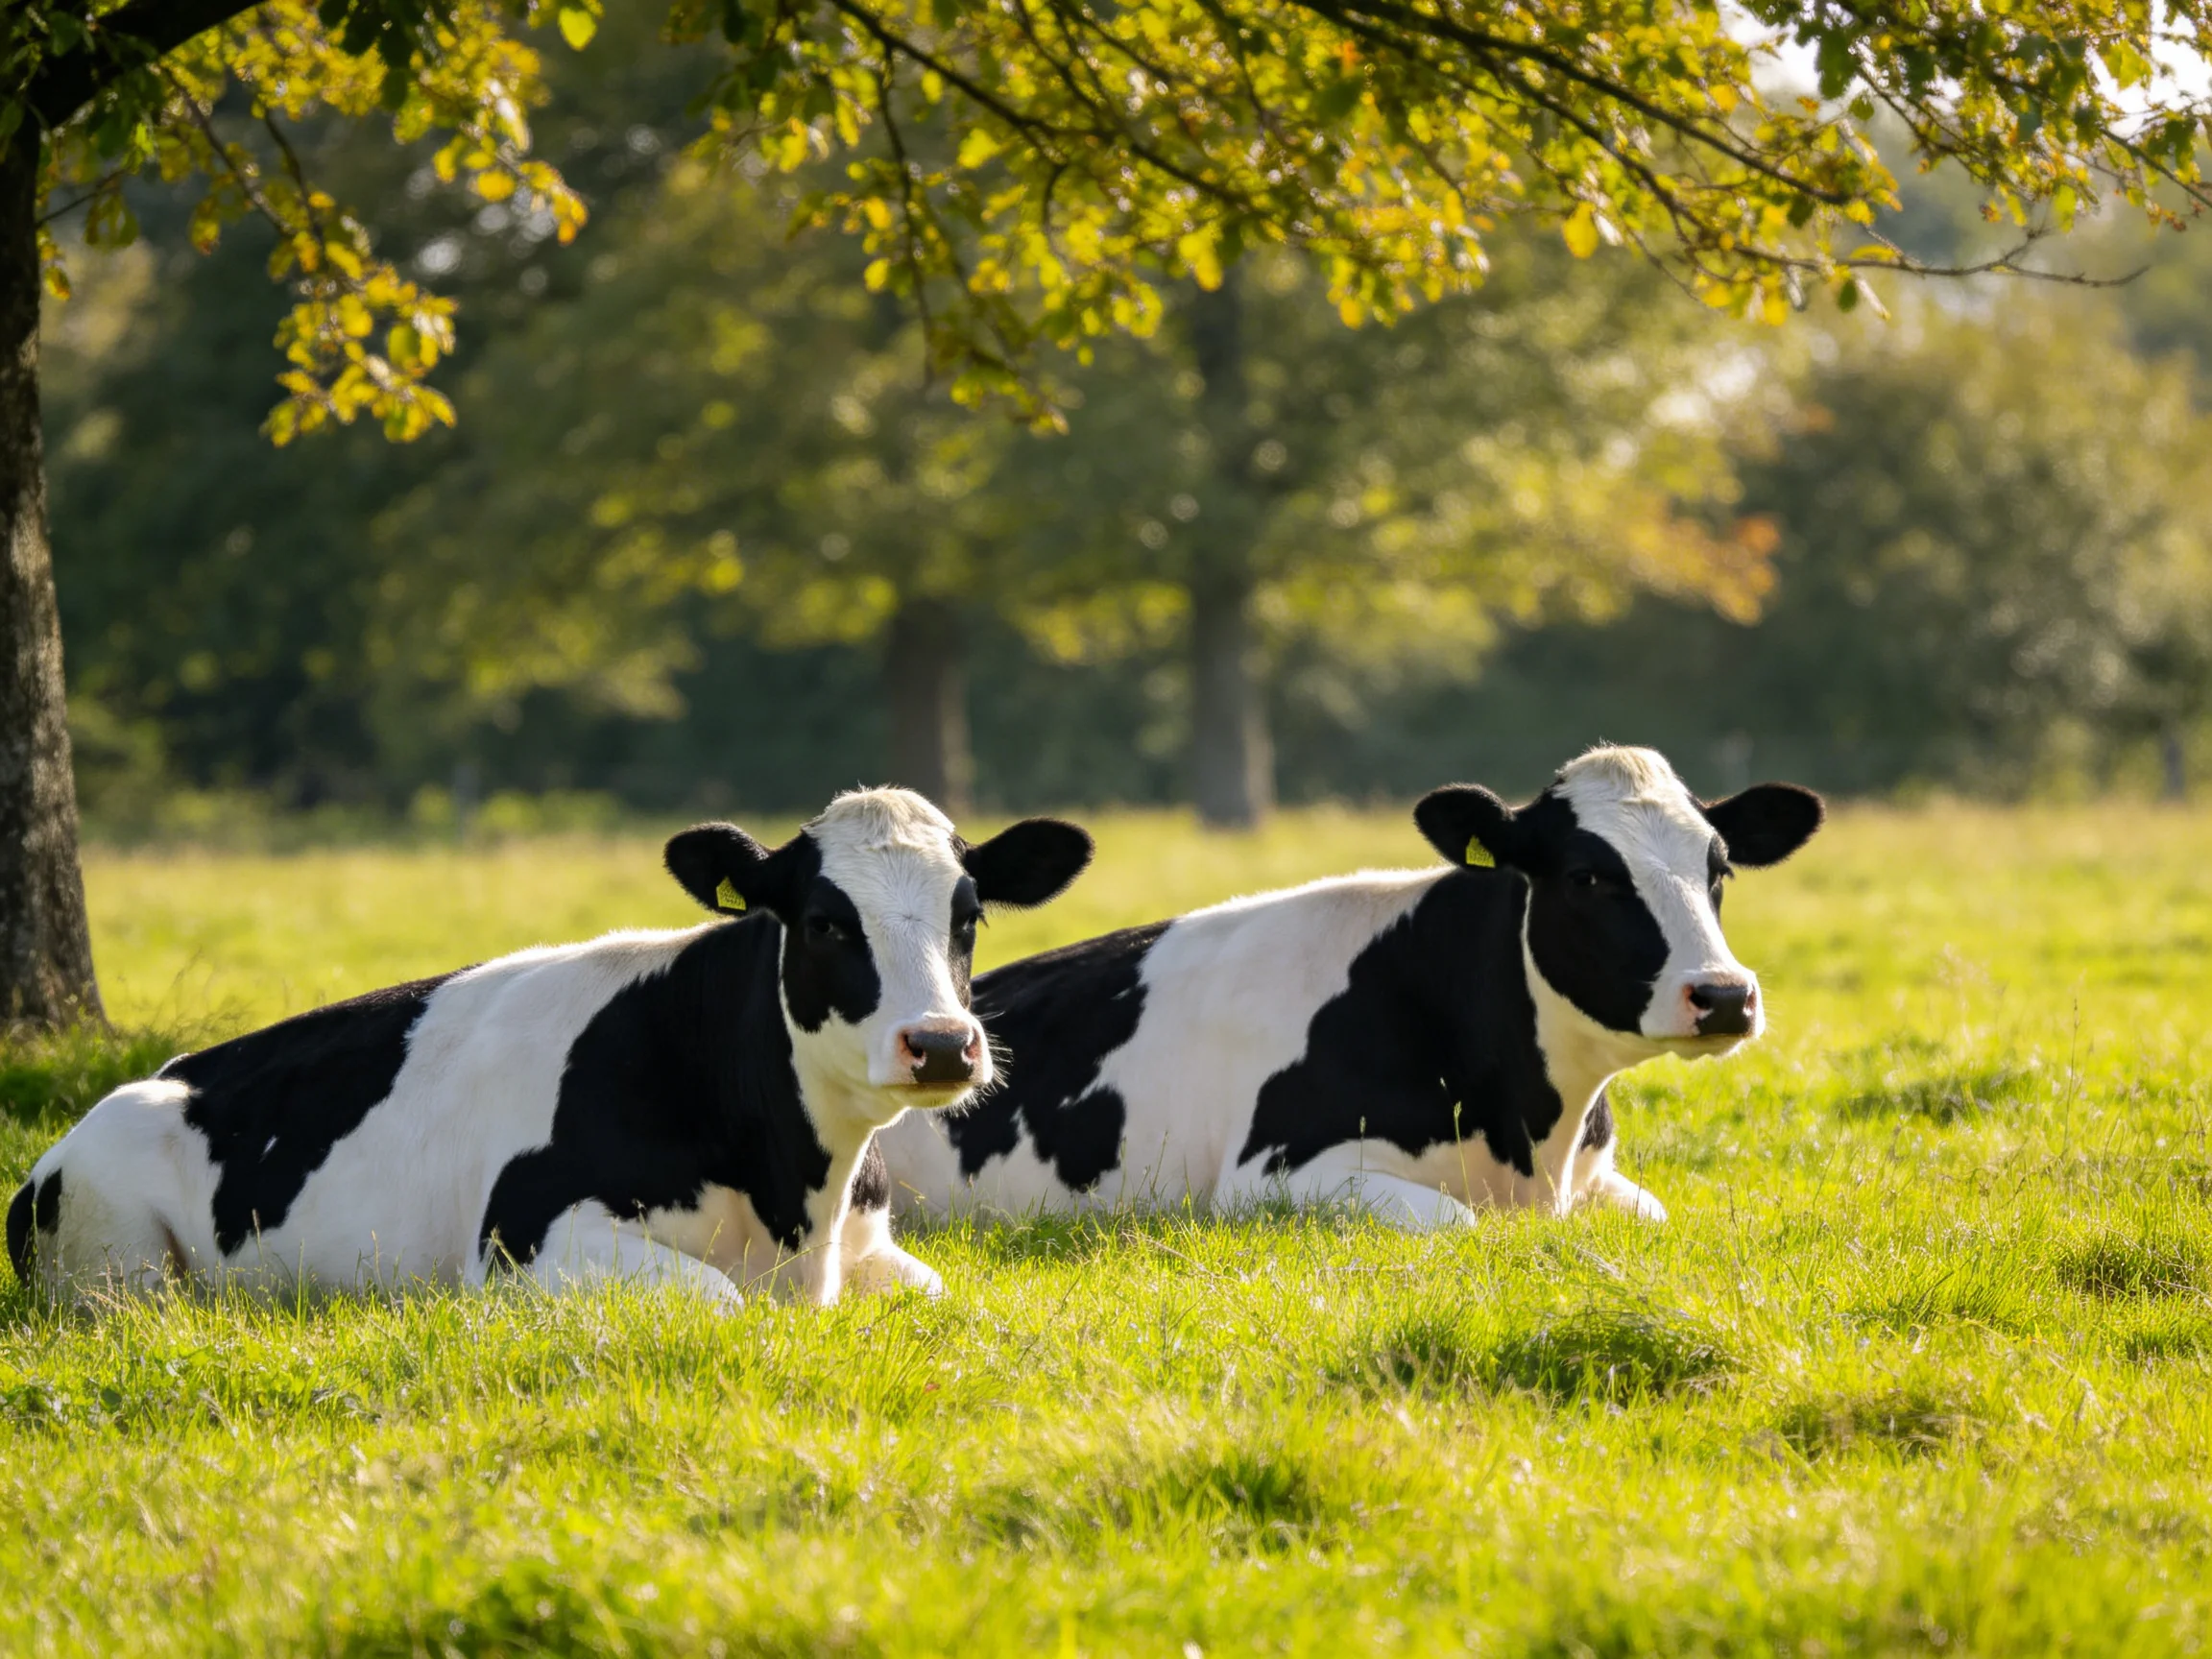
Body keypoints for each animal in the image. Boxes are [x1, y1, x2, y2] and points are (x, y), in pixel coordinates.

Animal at [8, 789, 1092, 1307]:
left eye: (968, 916)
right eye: (826, 923)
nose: (942, 1046)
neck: (797, 1206)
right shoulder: (525, 1233)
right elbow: (718, 1300)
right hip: (119, 1261)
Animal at [863, 746, 1820, 1238]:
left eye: (1720, 869)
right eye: (1587, 876)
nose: (1723, 995)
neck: (1529, 1138)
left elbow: (1652, 1214)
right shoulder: (1271, 1176)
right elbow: (1458, 1224)